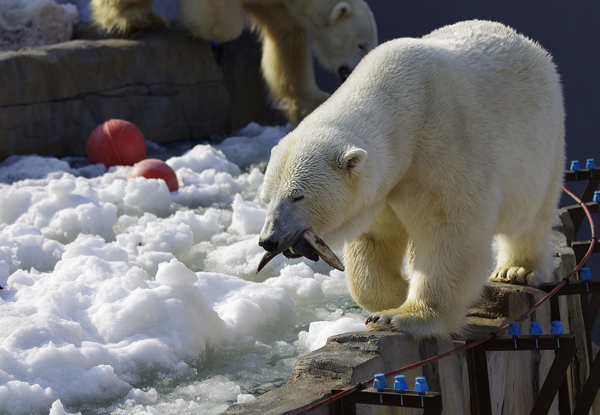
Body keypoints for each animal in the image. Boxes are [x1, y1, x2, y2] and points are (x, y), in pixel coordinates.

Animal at [88, 0, 380, 123]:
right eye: (361, 44)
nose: (353, 72)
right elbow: (224, 25)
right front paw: (204, 30)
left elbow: (288, 35)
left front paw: (310, 101)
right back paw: (135, 19)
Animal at [258, 19, 568, 340]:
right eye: (266, 199)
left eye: (297, 195)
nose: (268, 240)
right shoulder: (383, 189)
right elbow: (375, 241)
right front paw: (396, 294)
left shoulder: (443, 146)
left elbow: (449, 230)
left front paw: (402, 316)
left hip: (543, 140)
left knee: (530, 214)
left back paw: (516, 270)